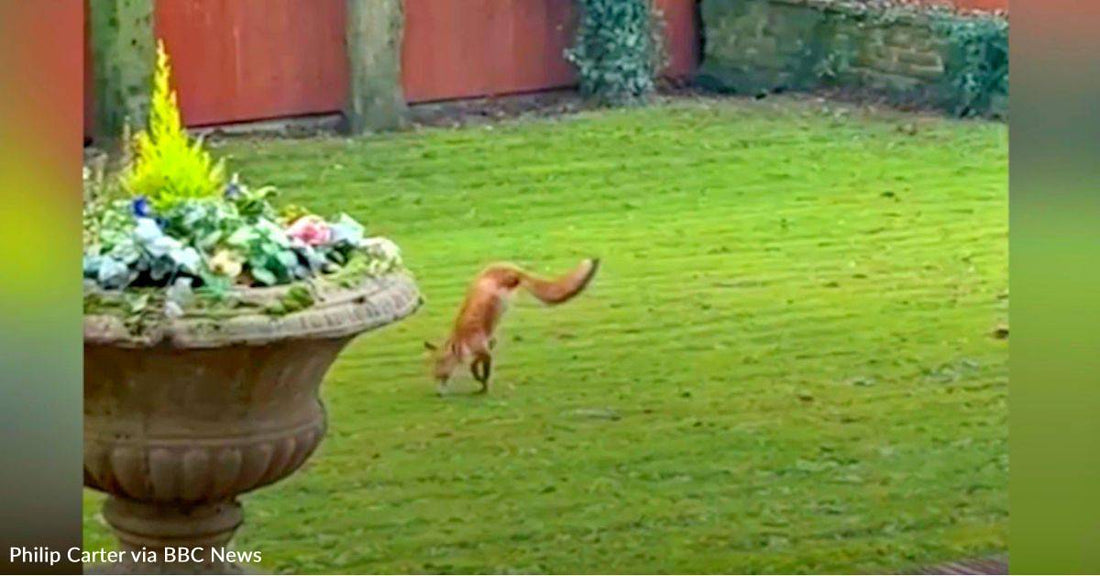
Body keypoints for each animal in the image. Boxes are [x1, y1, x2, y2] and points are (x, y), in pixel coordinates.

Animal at [424, 258, 600, 395]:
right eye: (434, 369)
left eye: (441, 368)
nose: (438, 393)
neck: (463, 340)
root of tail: (503, 265)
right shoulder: (485, 347)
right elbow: (476, 366)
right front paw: (481, 382)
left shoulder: (484, 351)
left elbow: (480, 370)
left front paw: (483, 386)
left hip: (511, 282)